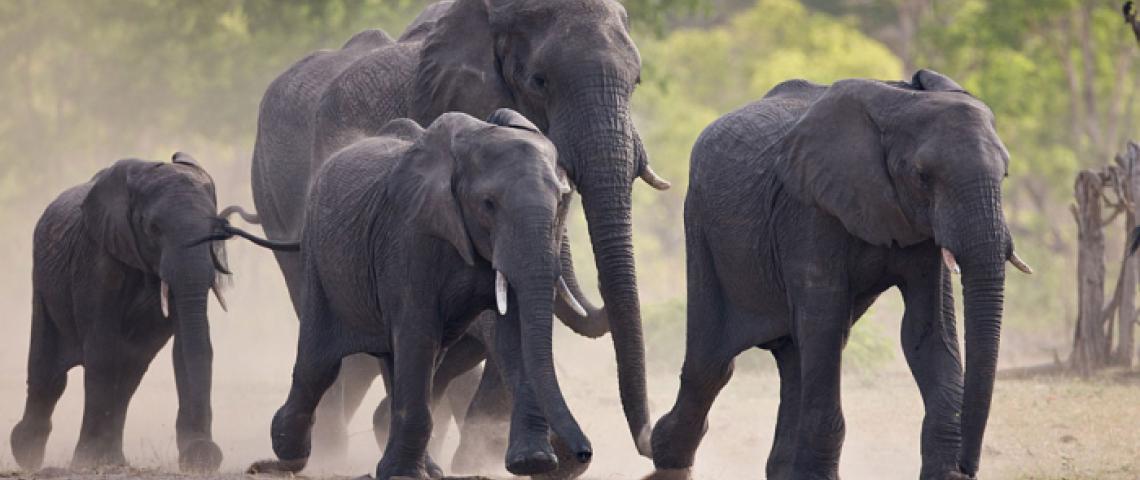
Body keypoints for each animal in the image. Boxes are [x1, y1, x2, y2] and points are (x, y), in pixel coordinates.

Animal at [9, 152, 289, 472]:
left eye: (217, 231)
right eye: (154, 229)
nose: (207, 455)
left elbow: (185, 347)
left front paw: (200, 458)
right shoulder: (96, 259)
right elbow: (102, 349)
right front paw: (87, 462)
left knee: (130, 372)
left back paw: (113, 460)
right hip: (43, 286)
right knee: (50, 373)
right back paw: (28, 454)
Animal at [246, 108, 592, 478]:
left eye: (561, 203)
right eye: (488, 204)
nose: (582, 453)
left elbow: (512, 336)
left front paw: (534, 461)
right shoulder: (409, 238)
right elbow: (418, 331)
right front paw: (403, 475)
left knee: (400, 362)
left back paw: (427, 468)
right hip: (318, 260)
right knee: (319, 363)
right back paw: (287, 453)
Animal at [642, 70, 1035, 478]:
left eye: (1005, 174)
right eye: (922, 176)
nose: (967, 466)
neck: (901, 104)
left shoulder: (924, 231)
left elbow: (926, 329)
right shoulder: (809, 207)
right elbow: (824, 321)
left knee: (794, 359)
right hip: (700, 225)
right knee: (712, 364)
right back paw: (666, 456)